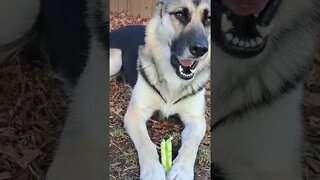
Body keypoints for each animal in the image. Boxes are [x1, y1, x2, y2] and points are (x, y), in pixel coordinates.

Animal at [111, 0, 211, 179]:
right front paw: (153, 171)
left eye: (208, 19)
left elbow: (190, 145)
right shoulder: (135, 114)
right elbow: (146, 144)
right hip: (115, 58)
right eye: (180, 14)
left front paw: (181, 171)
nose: (200, 49)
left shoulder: (197, 121)